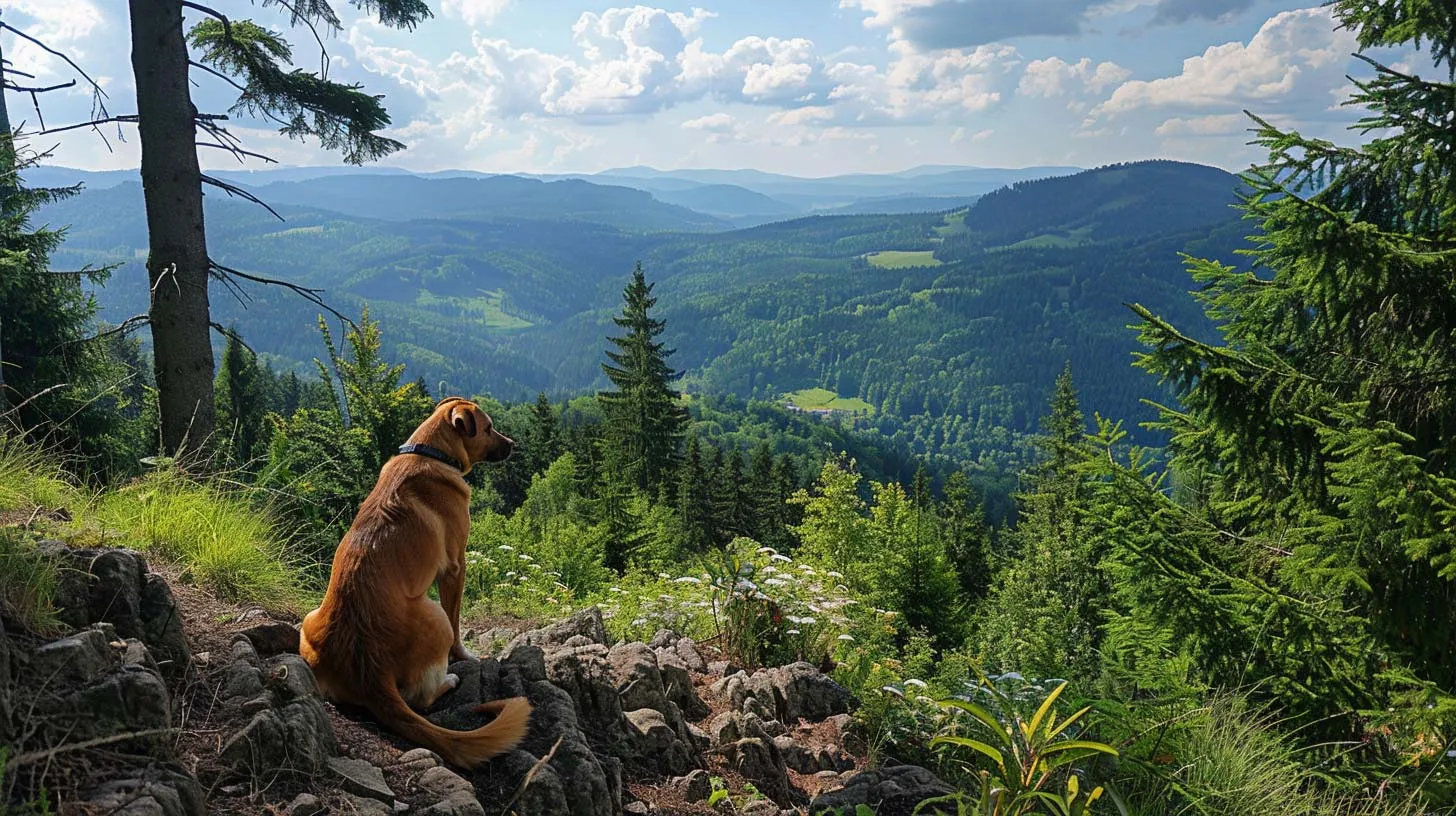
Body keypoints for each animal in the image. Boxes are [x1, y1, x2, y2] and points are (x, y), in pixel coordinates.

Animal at [298, 399, 532, 769]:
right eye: (489, 427)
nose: (513, 444)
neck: (430, 451)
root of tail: (369, 673)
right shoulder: (455, 567)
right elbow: (458, 623)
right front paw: (465, 656)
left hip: (309, 619)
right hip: (434, 615)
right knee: (420, 698)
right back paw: (448, 679)